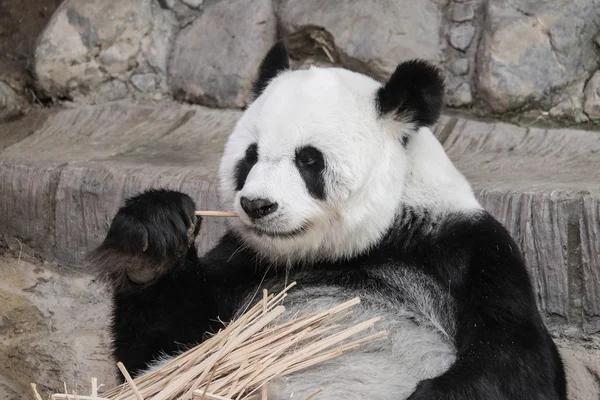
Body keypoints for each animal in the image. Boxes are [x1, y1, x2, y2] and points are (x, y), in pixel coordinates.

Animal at [92, 42, 568, 398]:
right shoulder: (244, 263)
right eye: (250, 157)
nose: (257, 205)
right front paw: (151, 240)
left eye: (309, 160)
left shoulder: (467, 251)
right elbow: (156, 352)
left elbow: (519, 362)